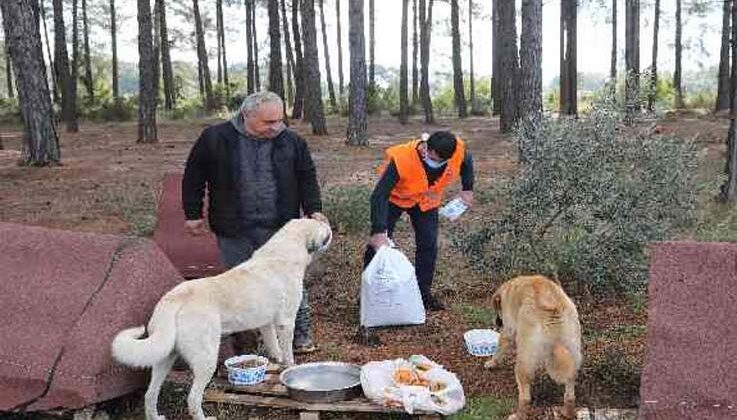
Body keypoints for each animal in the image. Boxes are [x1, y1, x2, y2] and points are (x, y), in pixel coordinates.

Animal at [110, 218, 332, 420]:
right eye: (322, 227)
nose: (325, 220)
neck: (284, 251)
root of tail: (176, 297)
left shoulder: (266, 324)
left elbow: (274, 347)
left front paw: (277, 362)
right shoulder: (285, 322)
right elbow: (288, 353)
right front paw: (290, 368)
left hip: (164, 358)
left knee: (150, 394)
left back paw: (155, 416)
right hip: (206, 359)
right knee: (192, 399)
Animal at [486, 276, 584, 420]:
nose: (495, 323)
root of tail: (554, 311)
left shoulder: (509, 330)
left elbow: (500, 347)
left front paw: (492, 363)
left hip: (524, 362)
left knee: (525, 397)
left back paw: (518, 415)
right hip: (573, 354)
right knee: (570, 392)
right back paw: (568, 412)